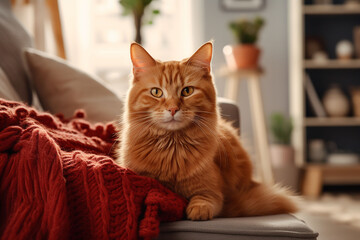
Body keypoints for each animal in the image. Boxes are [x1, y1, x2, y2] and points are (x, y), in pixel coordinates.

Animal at [116, 42, 296, 220]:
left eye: (187, 91)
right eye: (156, 92)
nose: (173, 109)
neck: (172, 149)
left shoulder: (211, 192)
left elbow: (204, 200)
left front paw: (197, 211)